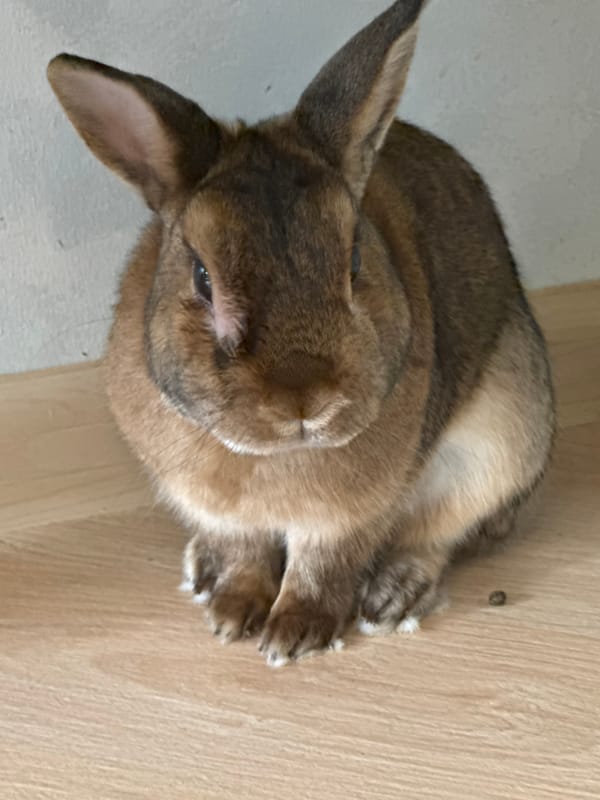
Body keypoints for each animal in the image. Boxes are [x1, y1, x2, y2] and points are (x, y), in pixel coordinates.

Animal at [47, 0, 555, 667]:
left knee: (441, 534)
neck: (274, 458)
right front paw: (232, 613)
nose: (305, 401)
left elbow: (324, 566)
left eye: (355, 260)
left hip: (505, 438)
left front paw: (294, 635)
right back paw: (203, 570)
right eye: (203, 278)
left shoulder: (349, 518)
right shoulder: (224, 514)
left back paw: (394, 596)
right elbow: (246, 556)